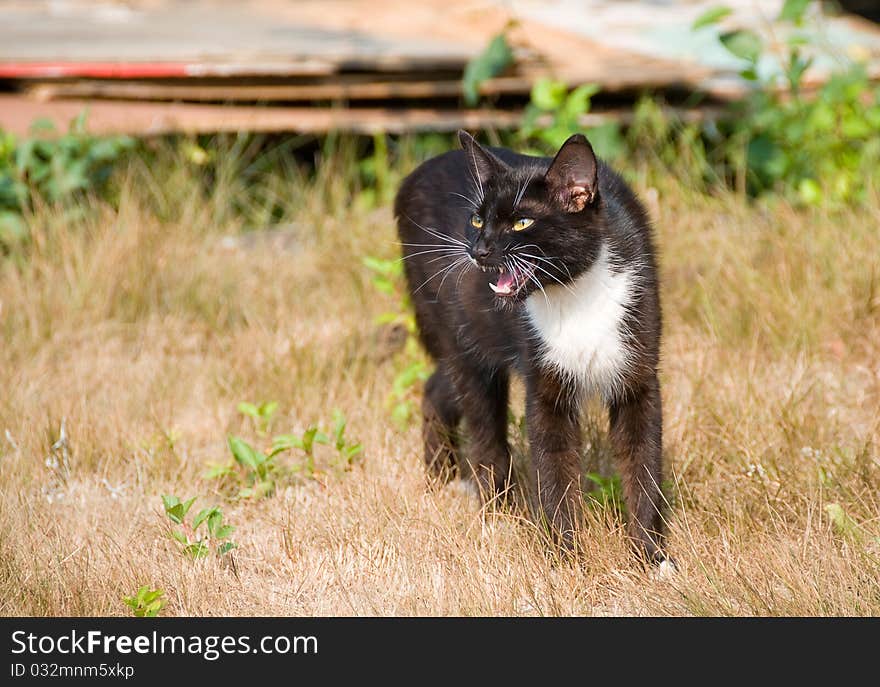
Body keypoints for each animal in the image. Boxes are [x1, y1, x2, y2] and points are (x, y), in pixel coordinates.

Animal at [394, 130, 668, 564]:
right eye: (477, 219)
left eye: (522, 222)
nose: (478, 249)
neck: (574, 293)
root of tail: (410, 178)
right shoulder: (544, 383)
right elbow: (554, 469)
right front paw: (566, 561)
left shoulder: (638, 372)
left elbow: (643, 461)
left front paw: (650, 559)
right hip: (463, 334)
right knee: (483, 427)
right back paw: (495, 513)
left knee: (438, 387)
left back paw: (441, 479)